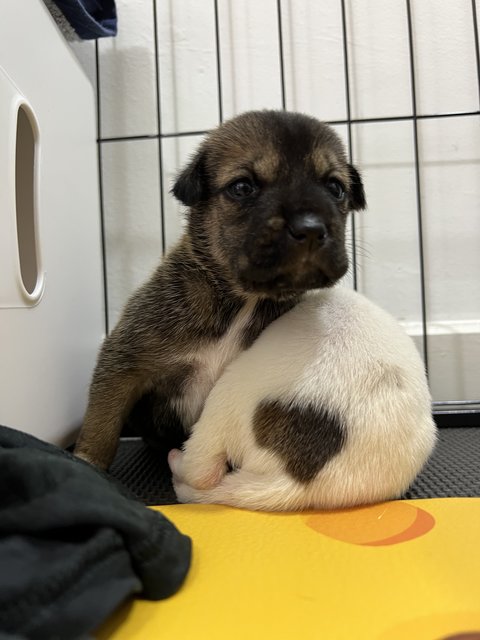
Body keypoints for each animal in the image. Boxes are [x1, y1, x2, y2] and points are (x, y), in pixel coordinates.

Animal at [76, 109, 364, 470]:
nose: (310, 228)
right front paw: (86, 462)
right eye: (242, 187)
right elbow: (102, 423)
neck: (245, 300)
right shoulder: (125, 362)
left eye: (335, 188)